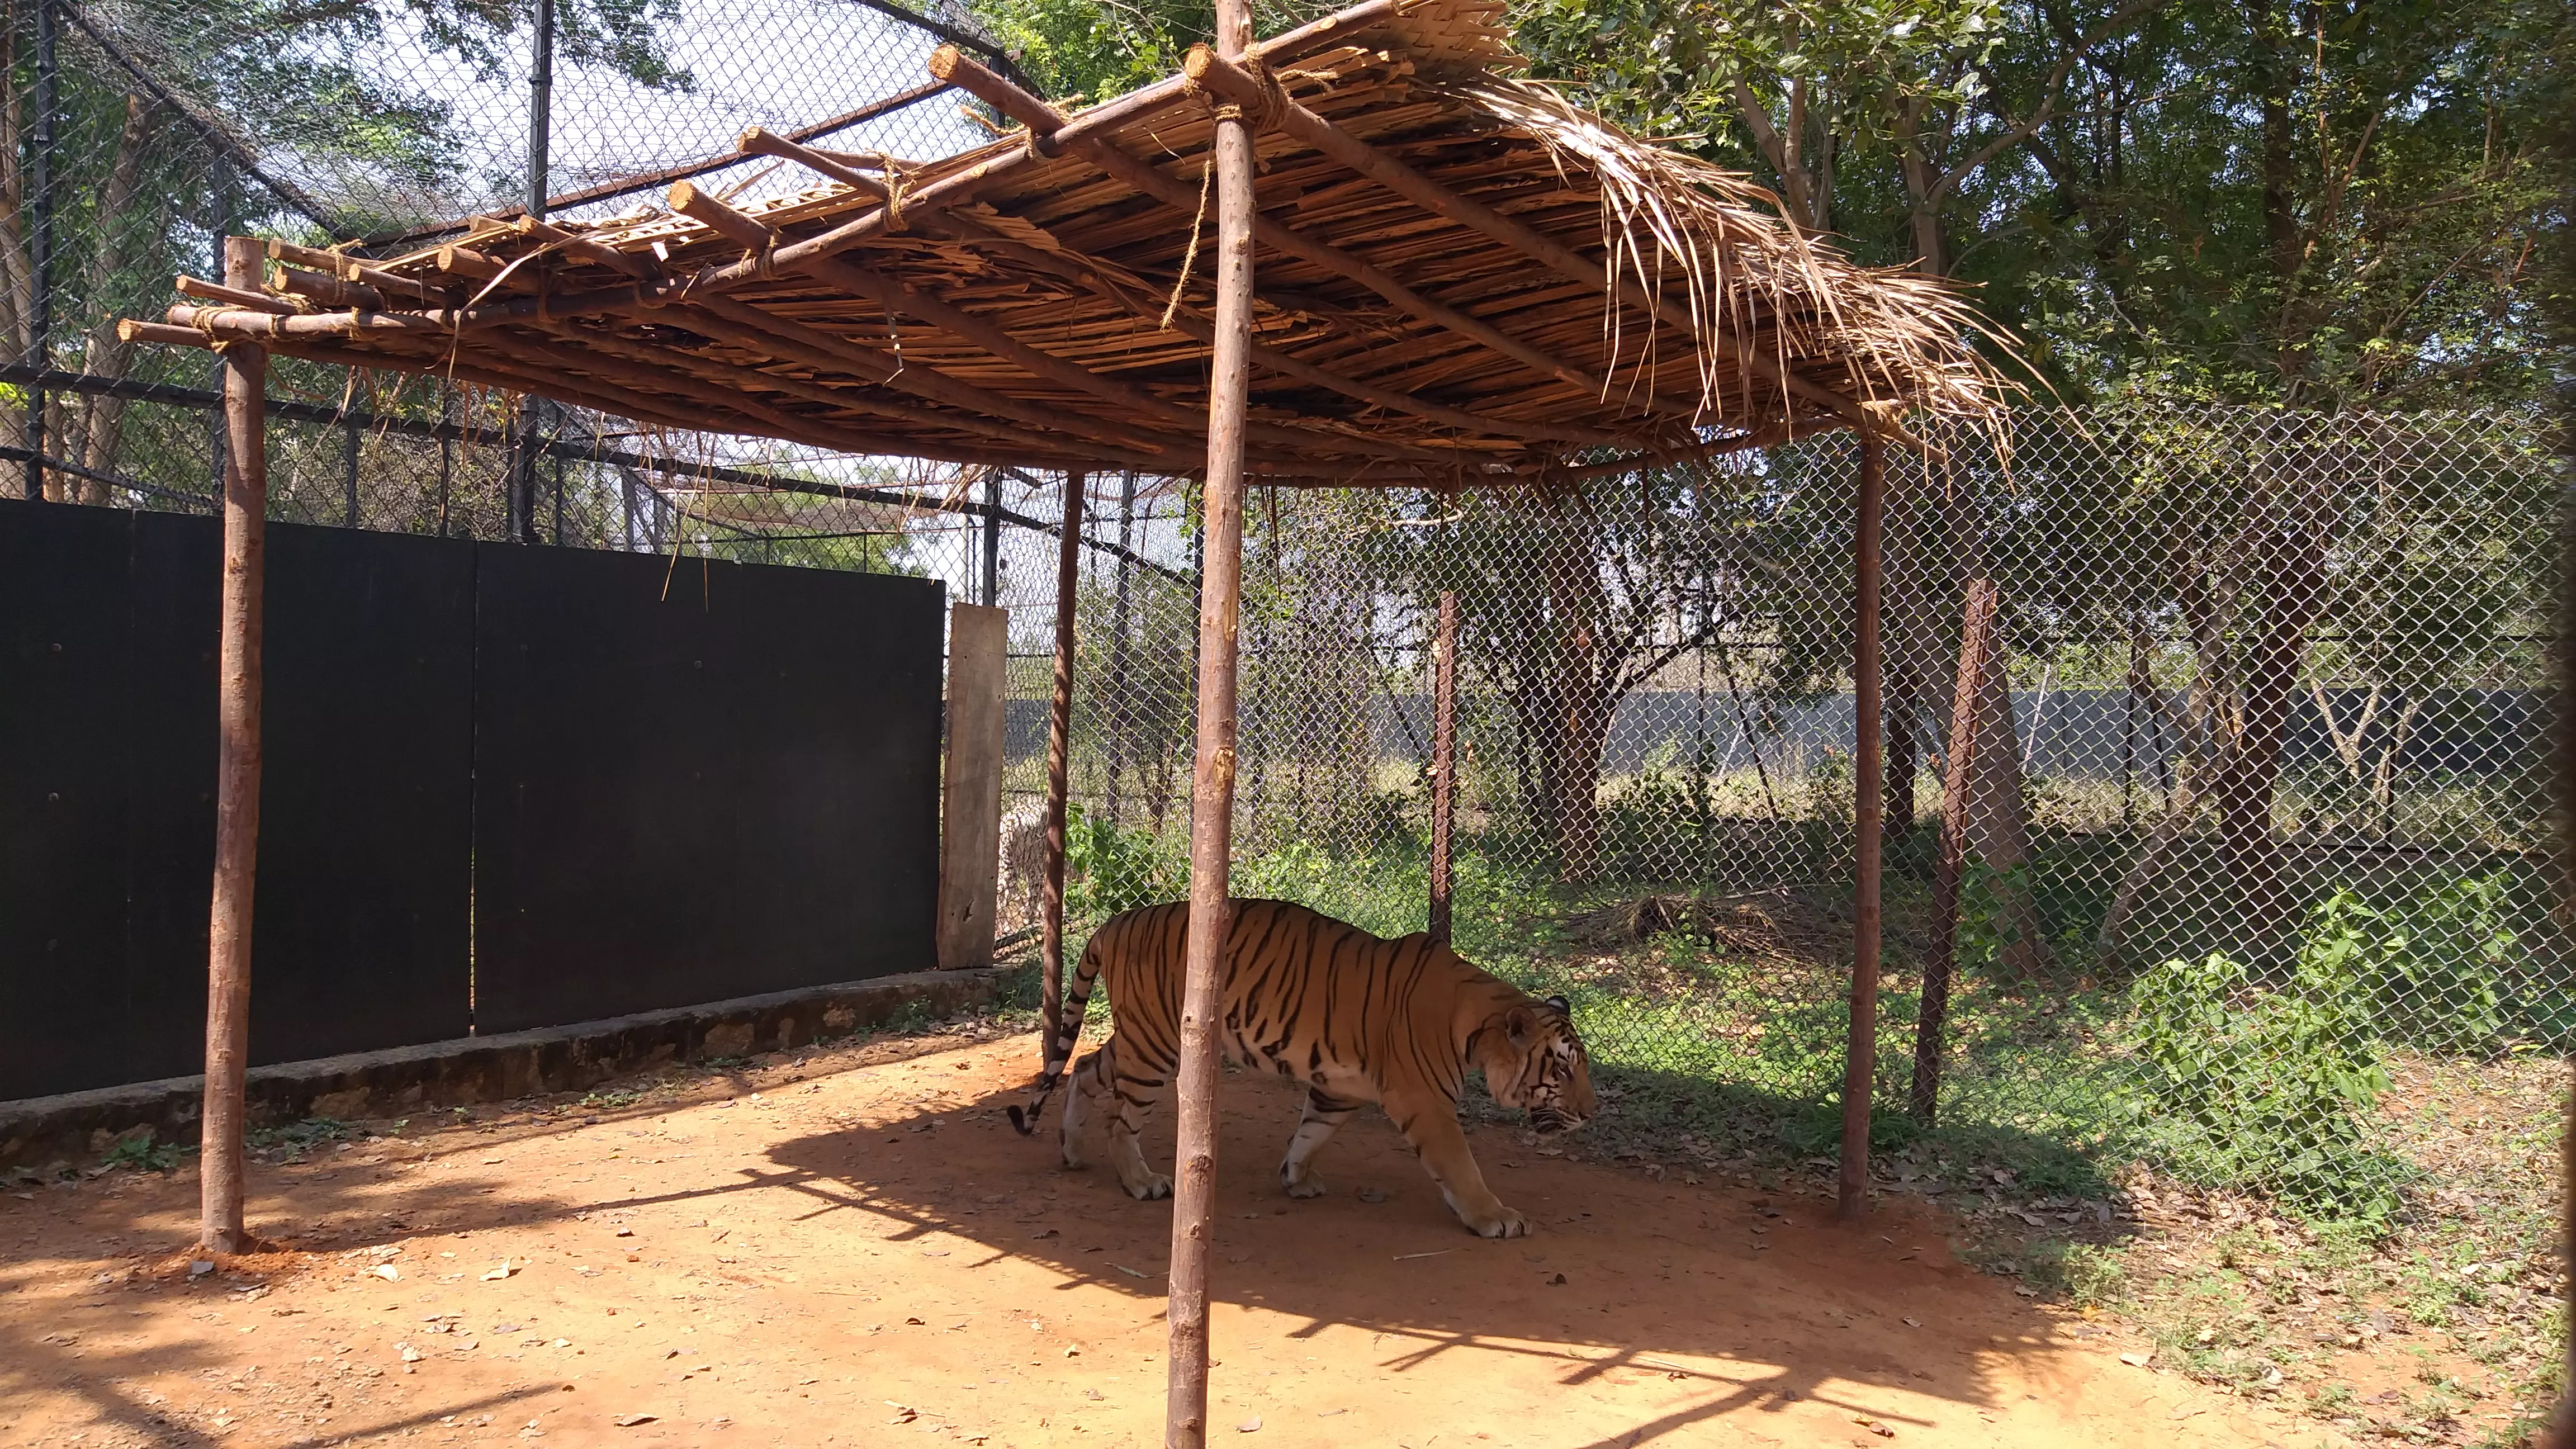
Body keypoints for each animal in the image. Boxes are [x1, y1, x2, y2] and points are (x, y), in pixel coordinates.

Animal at [1005, 897, 1587, 1237]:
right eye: (1560, 1071)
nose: (1590, 1115)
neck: (1476, 1027)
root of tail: (1117, 920)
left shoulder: (1339, 1089)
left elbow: (1312, 1133)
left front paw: (1296, 1179)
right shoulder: (1426, 1104)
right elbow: (1462, 1167)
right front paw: (1496, 1218)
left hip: (1142, 1037)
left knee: (1083, 1067)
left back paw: (1073, 1152)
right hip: (1156, 1045)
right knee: (1119, 1117)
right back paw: (1141, 1181)